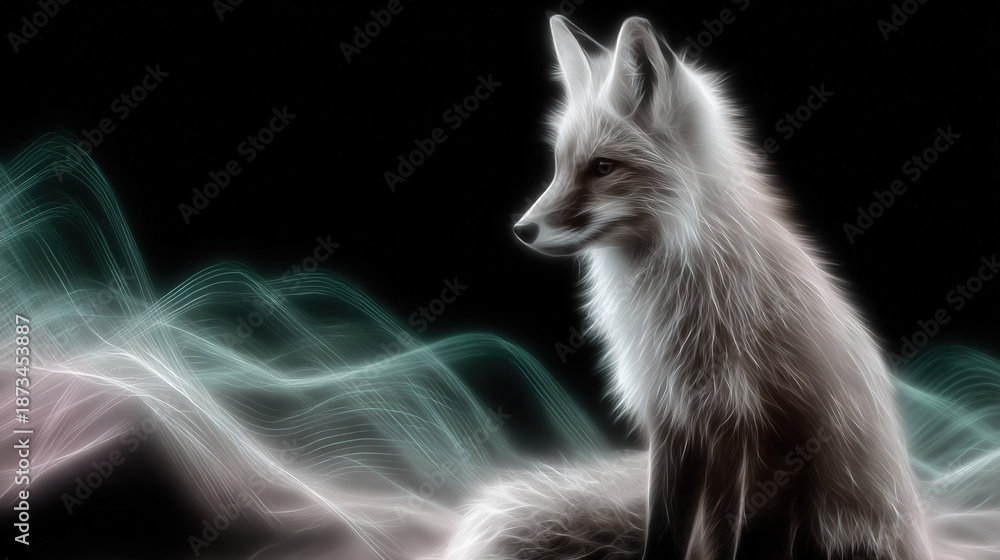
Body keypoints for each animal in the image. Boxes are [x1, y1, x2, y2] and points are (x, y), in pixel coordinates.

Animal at [486, 14, 935, 560]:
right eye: (561, 164)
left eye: (603, 167)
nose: (521, 230)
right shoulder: (671, 420)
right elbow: (663, 529)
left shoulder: (733, 424)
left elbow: (721, 537)